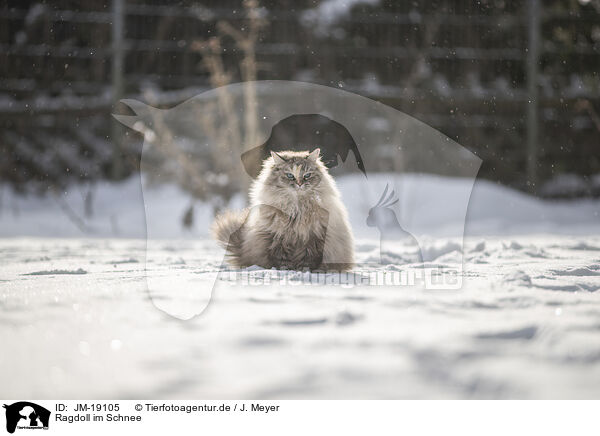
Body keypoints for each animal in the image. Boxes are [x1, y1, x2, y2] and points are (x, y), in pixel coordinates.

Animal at [212, 148, 354, 270]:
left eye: (307, 175)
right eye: (290, 175)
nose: (299, 184)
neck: (297, 208)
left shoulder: (313, 236)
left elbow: (308, 257)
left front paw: (305, 270)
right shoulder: (278, 236)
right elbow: (281, 257)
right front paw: (285, 269)